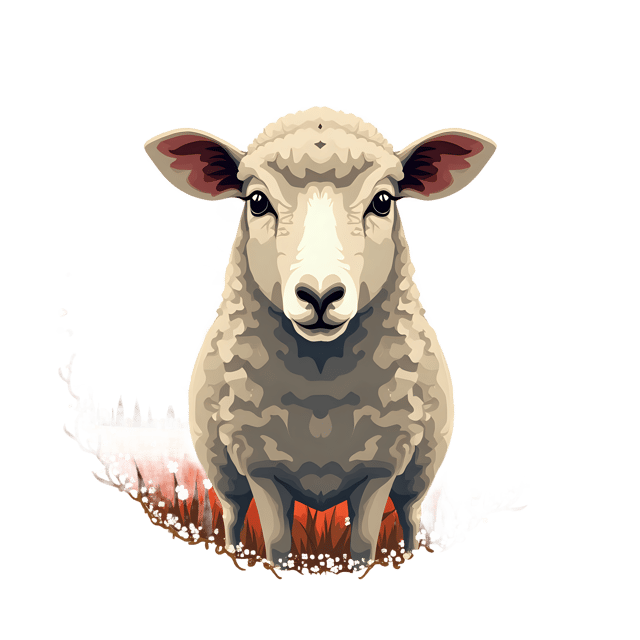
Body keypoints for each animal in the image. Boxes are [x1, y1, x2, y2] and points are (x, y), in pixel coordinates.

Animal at [144, 106, 497, 570]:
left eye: (383, 202)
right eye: (257, 202)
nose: (320, 295)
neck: (320, 383)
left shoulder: (381, 466)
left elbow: (363, 545)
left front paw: (362, 571)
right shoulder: (260, 466)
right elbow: (277, 544)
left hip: (419, 471)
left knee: (409, 514)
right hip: (222, 469)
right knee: (234, 513)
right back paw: (234, 553)